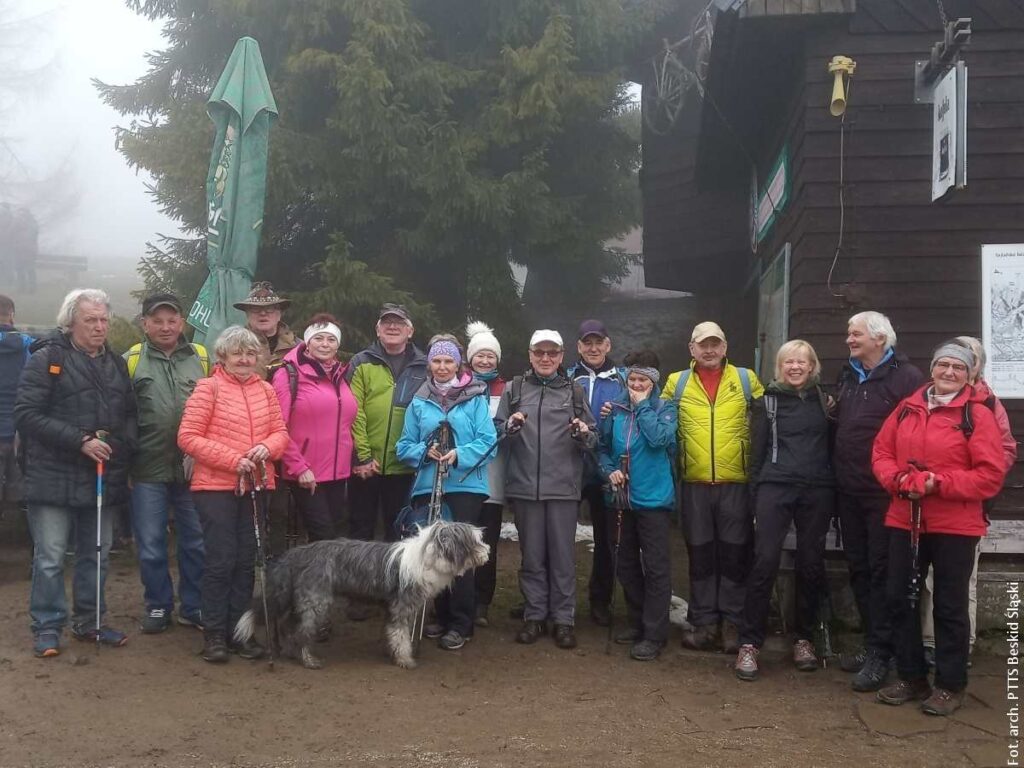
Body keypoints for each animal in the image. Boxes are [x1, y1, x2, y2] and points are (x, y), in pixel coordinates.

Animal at [234, 520, 489, 671]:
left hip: (305, 599)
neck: (428, 557)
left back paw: (288, 650)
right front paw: (405, 660)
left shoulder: (391, 607)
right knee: (301, 632)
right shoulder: (402, 607)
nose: (487, 552)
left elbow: (390, 633)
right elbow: (400, 635)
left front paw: (390, 653)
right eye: (475, 542)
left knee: (288, 625)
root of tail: (297, 553)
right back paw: (309, 660)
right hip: (316, 601)